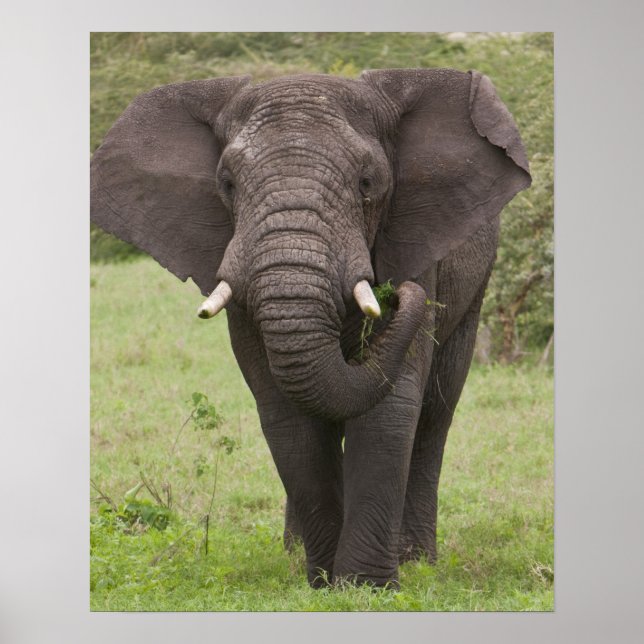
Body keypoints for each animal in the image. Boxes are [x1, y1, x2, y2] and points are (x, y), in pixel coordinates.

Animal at [91, 68, 531, 588]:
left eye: (367, 182)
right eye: (227, 184)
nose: (397, 293)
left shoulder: (417, 240)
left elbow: (391, 407)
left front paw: (365, 586)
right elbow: (285, 413)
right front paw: (322, 581)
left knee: (435, 413)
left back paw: (417, 559)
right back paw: (294, 552)